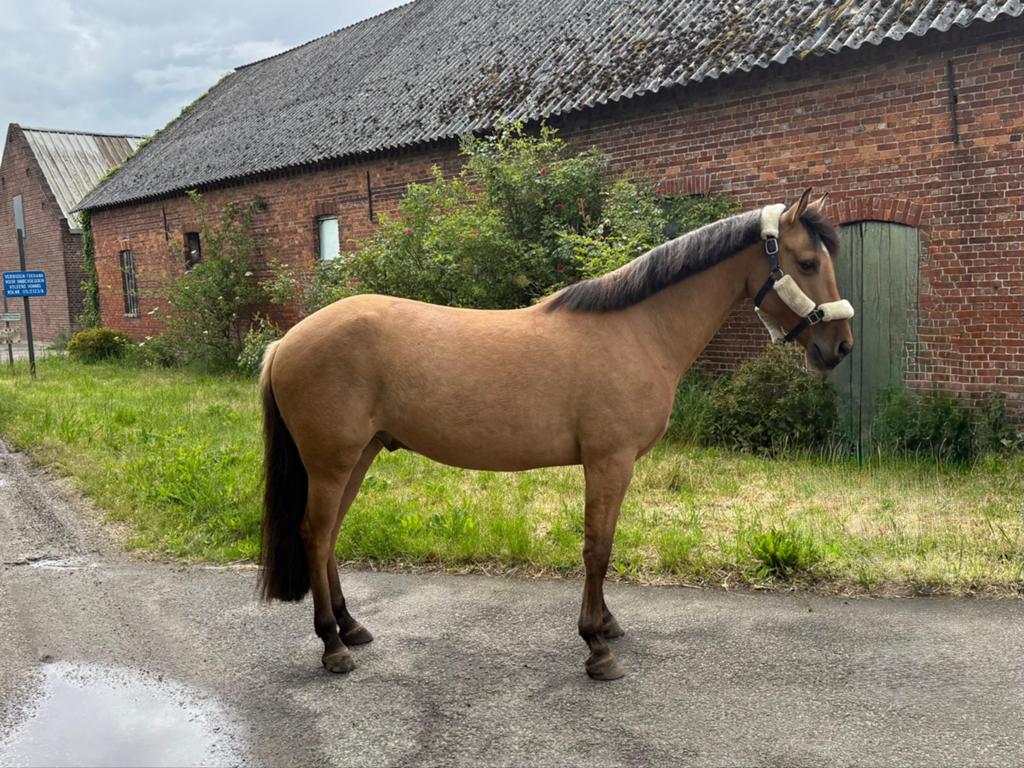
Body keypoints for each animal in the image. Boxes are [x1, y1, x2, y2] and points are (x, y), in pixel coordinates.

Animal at [258, 188, 854, 680]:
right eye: (806, 263)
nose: (840, 347)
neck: (638, 330)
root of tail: (285, 343)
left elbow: (602, 546)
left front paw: (606, 625)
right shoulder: (609, 461)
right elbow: (597, 548)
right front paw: (597, 647)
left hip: (358, 455)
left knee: (329, 535)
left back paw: (351, 626)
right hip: (332, 461)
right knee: (315, 534)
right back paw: (333, 645)